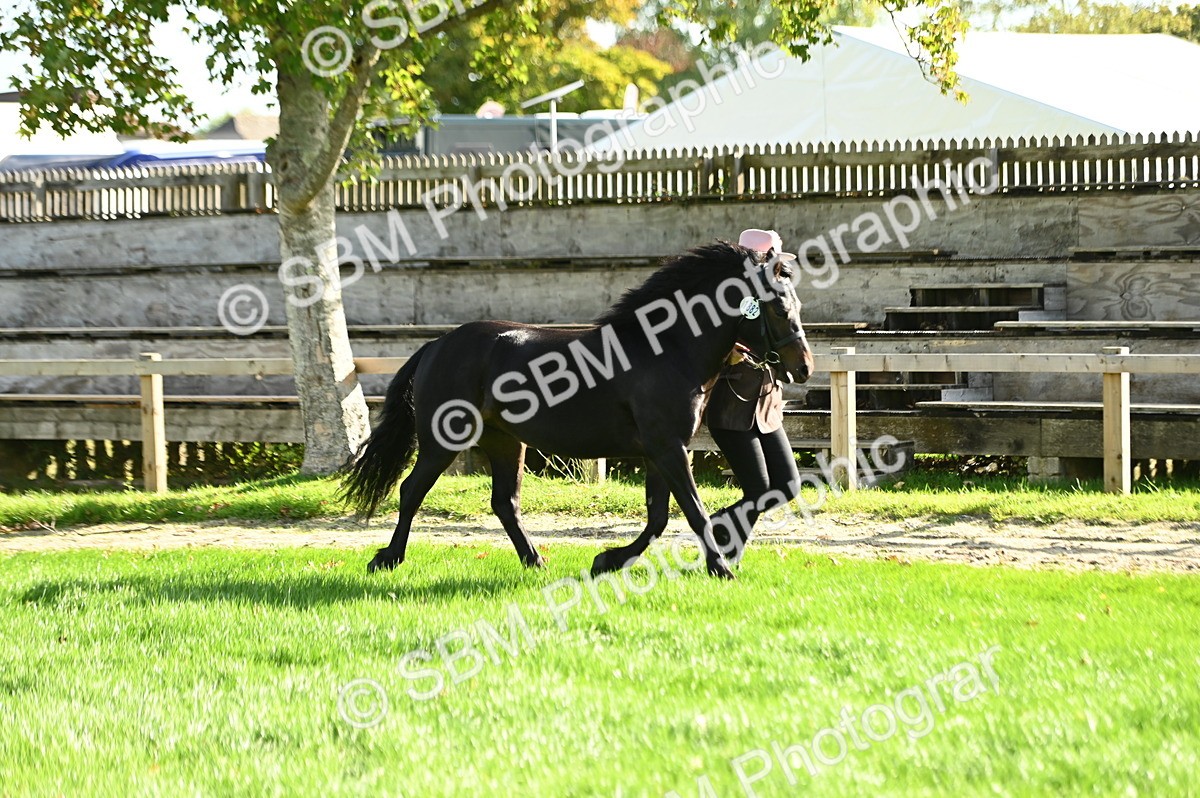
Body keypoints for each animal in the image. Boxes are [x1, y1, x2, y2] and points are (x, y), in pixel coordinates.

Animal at [340, 240, 814, 579]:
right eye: (777, 306)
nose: (803, 366)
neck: (665, 349)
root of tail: (437, 345)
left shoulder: (660, 452)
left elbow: (659, 517)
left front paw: (608, 561)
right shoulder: (668, 448)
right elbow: (693, 511)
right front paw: (720, 568)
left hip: (505, 442)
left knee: (504, 502)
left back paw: (535, 560)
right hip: (443, 441)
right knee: (411, 490)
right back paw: (387, 558)